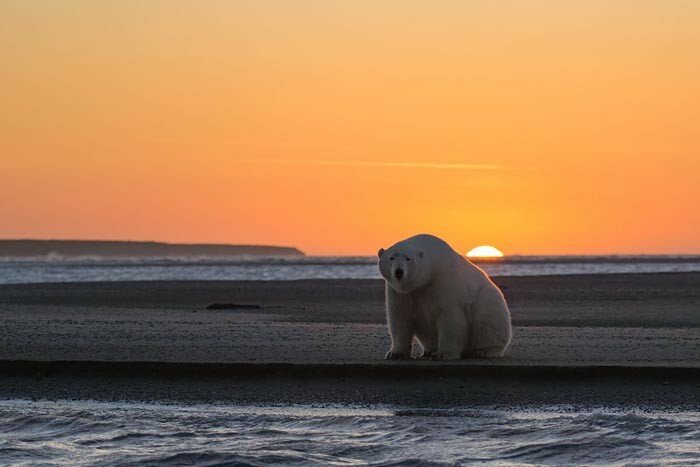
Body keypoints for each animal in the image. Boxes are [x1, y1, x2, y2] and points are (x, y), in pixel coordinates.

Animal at [380, 234, 512, 362]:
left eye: (408, 259)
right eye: (391, 258)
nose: (399, 272)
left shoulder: (444, 280)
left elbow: (449, 317)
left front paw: (442, 354)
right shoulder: (399, 291)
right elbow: (400, 317)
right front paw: (395, 354)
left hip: (488, 299)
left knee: (487, 319)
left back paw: (484, 351)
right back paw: (428, 351)